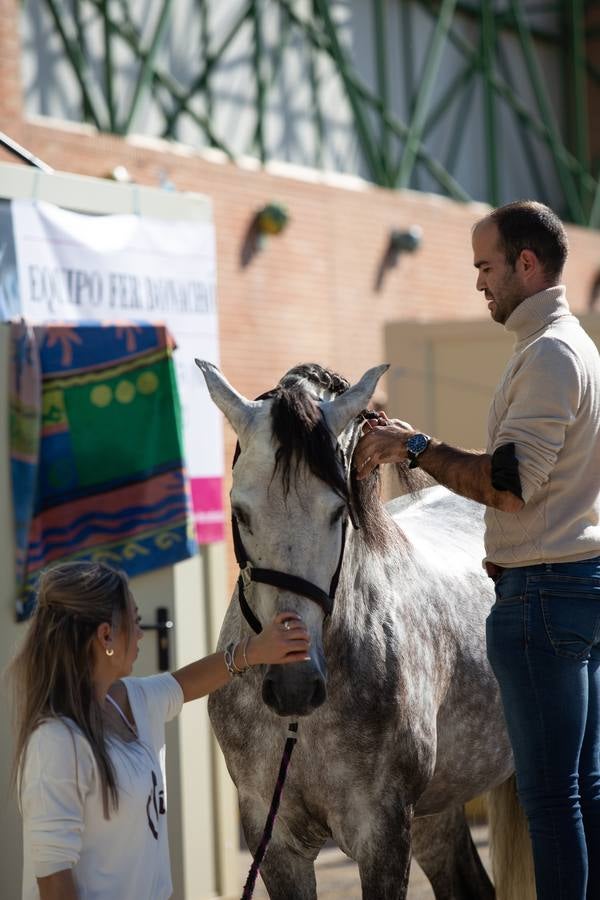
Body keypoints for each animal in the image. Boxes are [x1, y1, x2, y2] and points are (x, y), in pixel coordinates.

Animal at [197, 360, 536, 900]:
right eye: (239, 511)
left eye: (339, 509)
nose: (294, 684)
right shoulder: (274, 838)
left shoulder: (382, 832)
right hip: (436, 810)